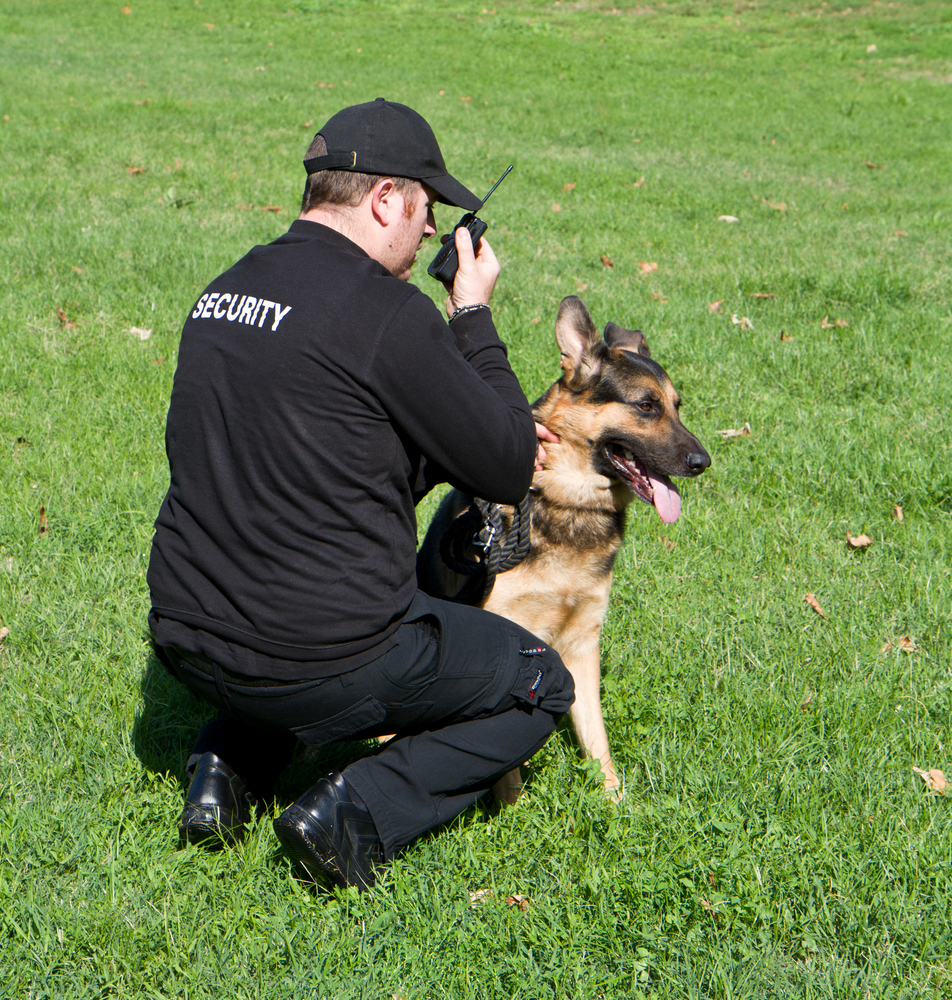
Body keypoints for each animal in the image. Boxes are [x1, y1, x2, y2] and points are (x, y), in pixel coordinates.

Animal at [420, 296, 712, 804]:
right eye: (646, 405)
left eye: (677, 408)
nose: (703, 462)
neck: (569, 500)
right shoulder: (518, 646)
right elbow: (508, 762)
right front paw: (515, 812)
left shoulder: (582, 644)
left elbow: (597, 738)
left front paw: (614, 803)